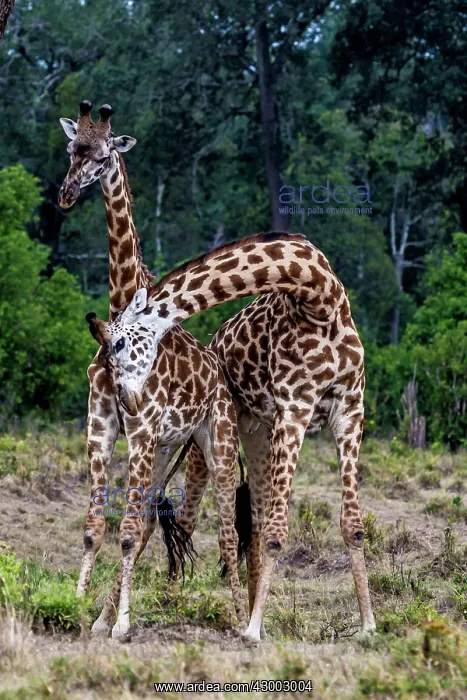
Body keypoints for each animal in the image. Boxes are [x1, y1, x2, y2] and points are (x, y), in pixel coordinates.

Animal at [58, 102, 245, 639]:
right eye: (70, 148)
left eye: (103, 155)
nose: (66, 195)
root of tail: (220, 377)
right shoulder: (102, 424)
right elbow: (95, 528)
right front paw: (79, 609)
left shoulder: (140, 428)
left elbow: (123, 531)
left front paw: (121, 625)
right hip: (165, 448)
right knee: (144, 522)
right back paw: (105, 615)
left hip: (213, 441)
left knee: (226, 530)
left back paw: (241, 618)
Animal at [86, 232, 376, 643]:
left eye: (120, 345)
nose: (128, 399)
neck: (319, 297)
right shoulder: (296, 406)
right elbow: (276, 531)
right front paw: (251, 630)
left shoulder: (350, 407)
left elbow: (352, 525)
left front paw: (368, 626)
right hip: (211, 438)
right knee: (179, 519)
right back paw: (132, 612)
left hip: (257, 433)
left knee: (249, 521)